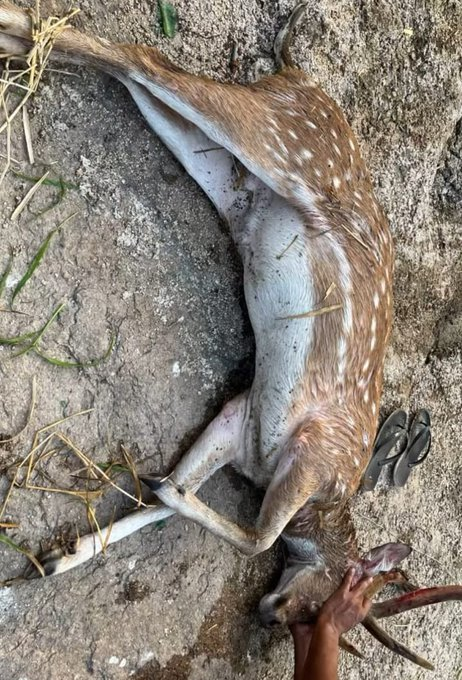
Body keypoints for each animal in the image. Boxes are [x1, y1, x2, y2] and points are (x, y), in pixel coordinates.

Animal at [0, 1, 461, 670]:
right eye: (344, 605)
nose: (270, 613)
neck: (320, 503)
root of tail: (298, 78)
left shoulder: (235, 417)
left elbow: (167, 496)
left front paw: (59, 557)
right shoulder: (314, 449)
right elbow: (256, 537)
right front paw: (161, 487)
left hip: (230, 178)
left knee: (139, 75)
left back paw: (18, 39)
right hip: (280, 141)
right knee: (147, 58)